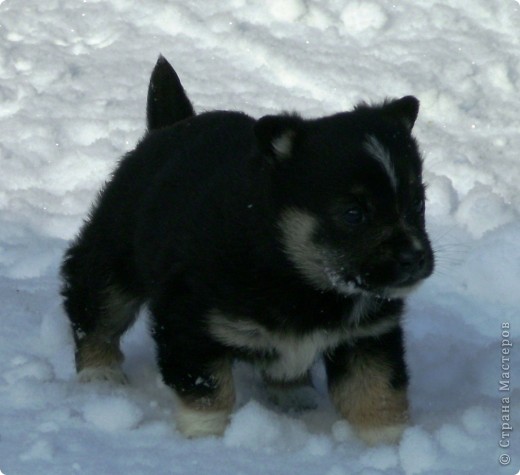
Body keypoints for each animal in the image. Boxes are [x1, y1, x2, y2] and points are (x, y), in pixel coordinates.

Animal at [61, 56, 434, 446]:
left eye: (418, 203)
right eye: (353, 213)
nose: (415, 258)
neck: (298, 275)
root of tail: (168, 127)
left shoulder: (368, 337)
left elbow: (376, 394)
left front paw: (390, 446)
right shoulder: (189, 323)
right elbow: (208, 390)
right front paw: (204, 439)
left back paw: (295, 394)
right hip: (113, 260)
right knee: (96, 311)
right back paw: (99, 374)